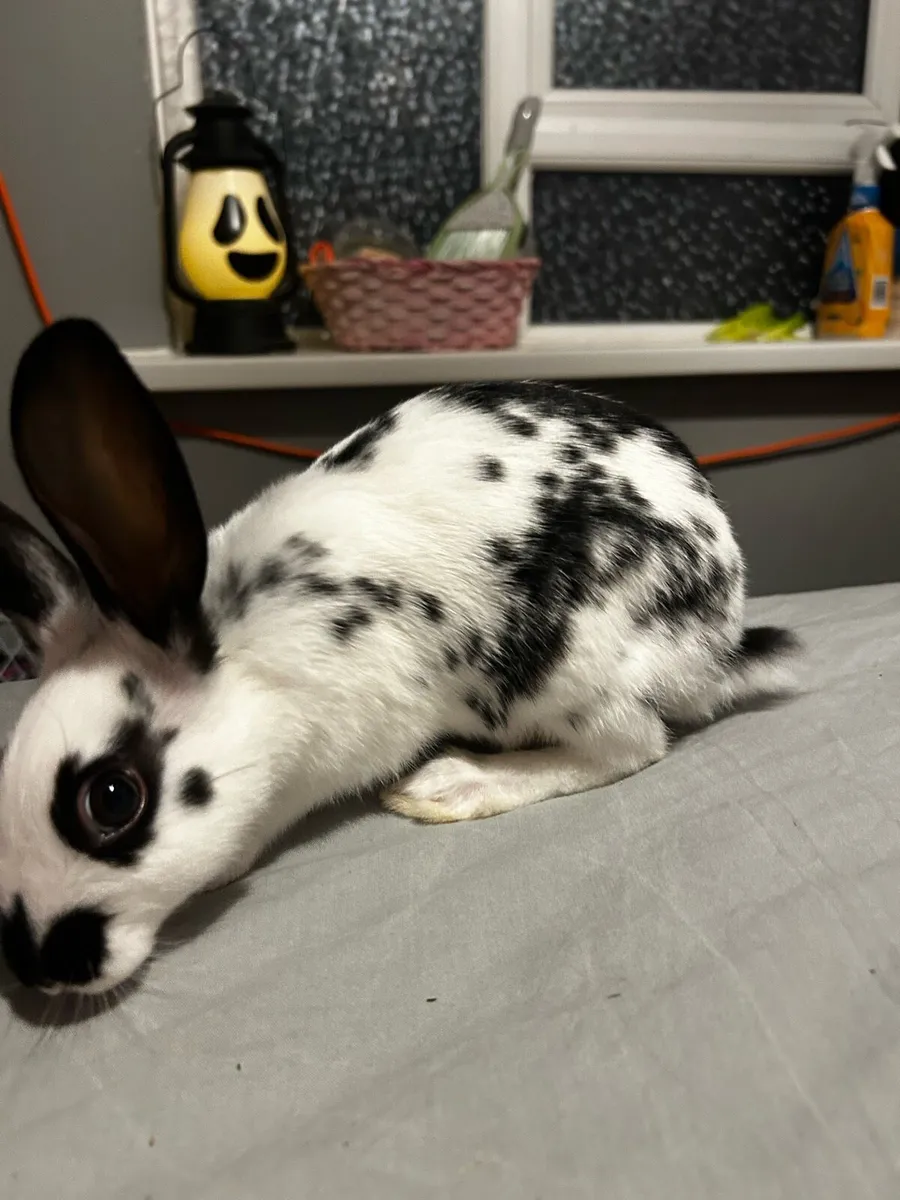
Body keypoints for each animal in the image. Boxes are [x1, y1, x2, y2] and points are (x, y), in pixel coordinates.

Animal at [0, 318, 799, 996]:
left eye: (112, 799)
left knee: (630, 747)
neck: (251, 666)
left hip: (573, 671)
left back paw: (451, 785)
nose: (36, 966)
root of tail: (720, 641)